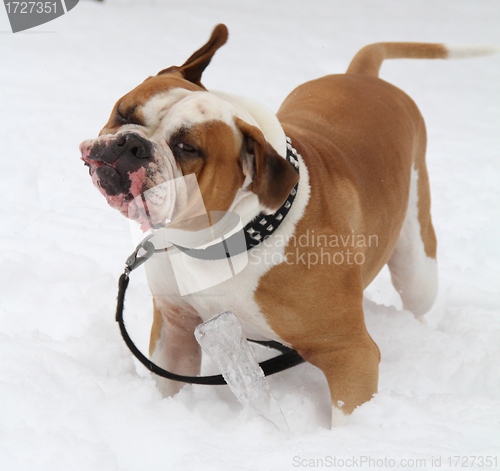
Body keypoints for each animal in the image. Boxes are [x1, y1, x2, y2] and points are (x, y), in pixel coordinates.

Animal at [81, 24, 492, 426]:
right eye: (125, 112)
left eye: (188, 149)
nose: (131, 145)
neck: (221, 242)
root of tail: (362, 75)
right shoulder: (176, 330)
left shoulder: (350, 353)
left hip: (416, 267)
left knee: (418, 295)